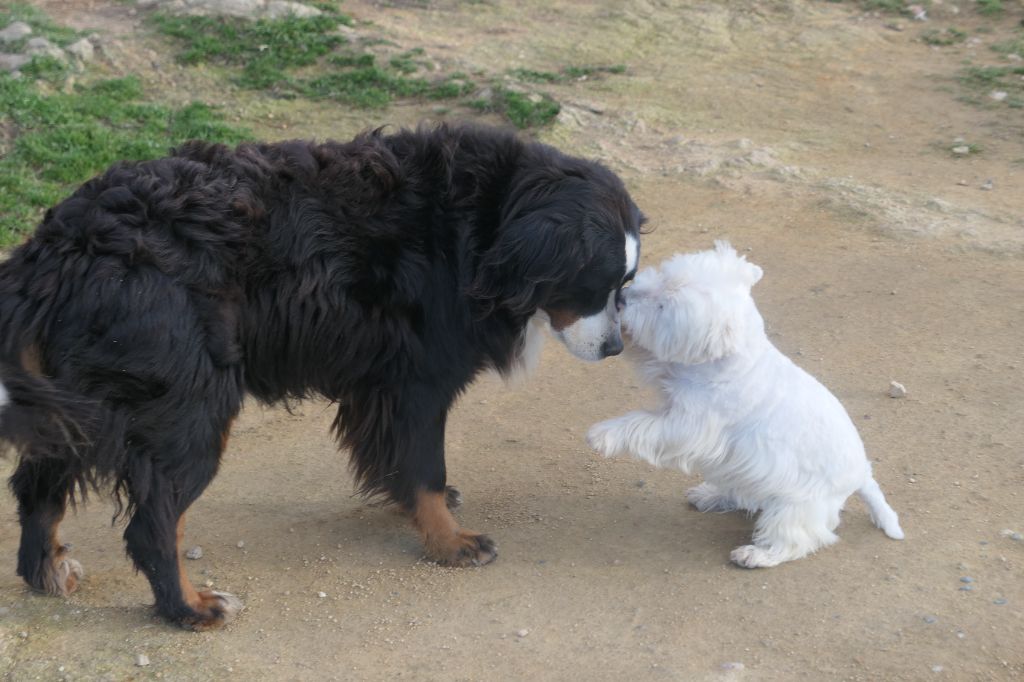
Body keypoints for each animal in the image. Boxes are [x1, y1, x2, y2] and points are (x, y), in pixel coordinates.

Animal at [0, 122, 638, 626]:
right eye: (596, 283)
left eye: (624, 285)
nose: (614, 348)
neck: (485, 225)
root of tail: (60, 246)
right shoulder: (419, 380)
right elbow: (426, 466)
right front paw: (451, 542)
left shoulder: (381, 382)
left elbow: (401, 460)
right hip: (189, 403)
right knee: (154, 522)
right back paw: (192, 608)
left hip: (80, 395)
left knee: (38, 484)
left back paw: (46, 571)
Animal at [585, 241, 905, 565]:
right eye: (662, 276)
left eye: (664, 306)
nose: (621, 297)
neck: (730, 358)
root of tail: (862, 474)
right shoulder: (668, 370)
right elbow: (645, 358)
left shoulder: (688, 425)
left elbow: (642, 424)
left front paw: (602, 435)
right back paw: (711, 496)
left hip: (795, 505)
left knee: (796, 539)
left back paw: (756, 555)